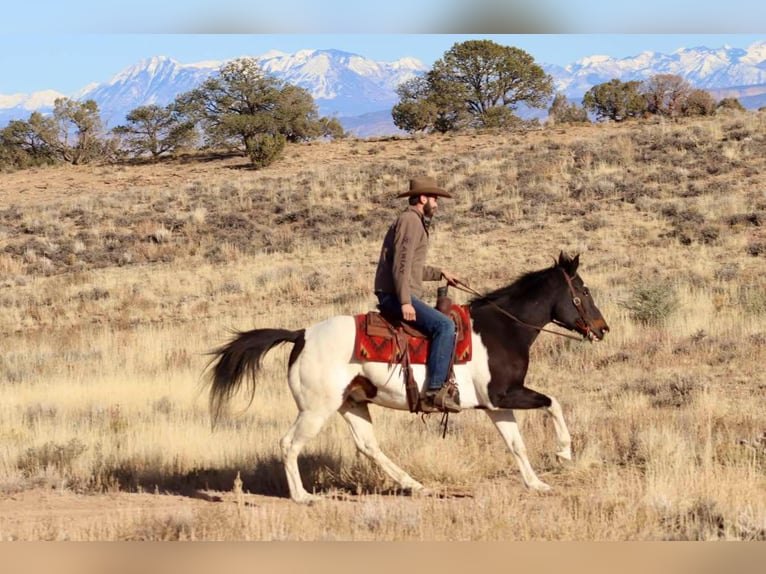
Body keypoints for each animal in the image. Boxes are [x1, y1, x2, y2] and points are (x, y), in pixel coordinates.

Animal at [206, 252, 609, 503]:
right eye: (584, 290)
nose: (602, 329)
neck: (503, 329)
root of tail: (301, 334)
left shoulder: (496, 404)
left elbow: (516, 445)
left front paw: (537, 484)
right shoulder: (507, 394)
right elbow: (553, 403)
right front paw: (564, 452)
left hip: (351, 404)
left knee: (368, 446)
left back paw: (415, 485)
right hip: (315, 410)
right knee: (289, 444)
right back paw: (302, 496)